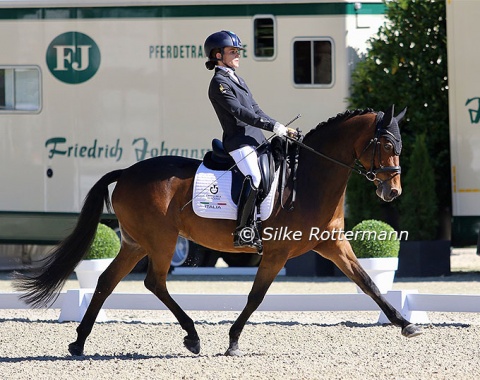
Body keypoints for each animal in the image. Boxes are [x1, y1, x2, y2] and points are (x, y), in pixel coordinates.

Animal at [14, 104, 420, 356]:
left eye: (400, 144)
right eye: (386, 143)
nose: (393, 192)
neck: (309, 180)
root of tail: (127, 171)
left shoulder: (332, 245)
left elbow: (369, 284)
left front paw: (405, 324)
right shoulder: (277, 252)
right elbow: (255, 297)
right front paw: (234, 340)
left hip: (135, 243)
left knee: (106, 282)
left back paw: (79, 343)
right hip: (161, 241)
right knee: (154, 282)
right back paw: (192, 337)